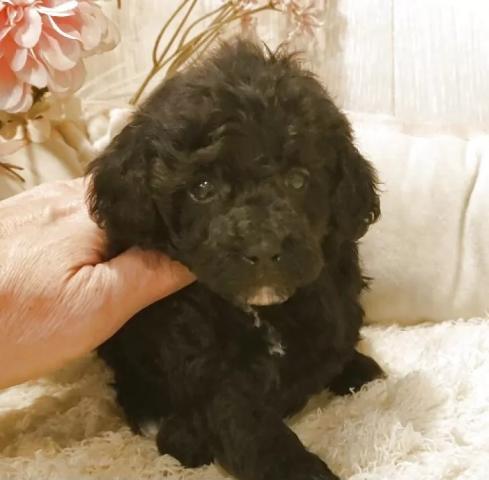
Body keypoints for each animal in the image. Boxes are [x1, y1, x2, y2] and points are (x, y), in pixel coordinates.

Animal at [88, 39, 383, 480]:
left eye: (298, 179)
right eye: (202, 187)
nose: (262, 247)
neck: (263, 310)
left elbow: (334, 340)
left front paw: (351, 366)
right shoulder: (207, 365)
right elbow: (249, 424)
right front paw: (298, 469)